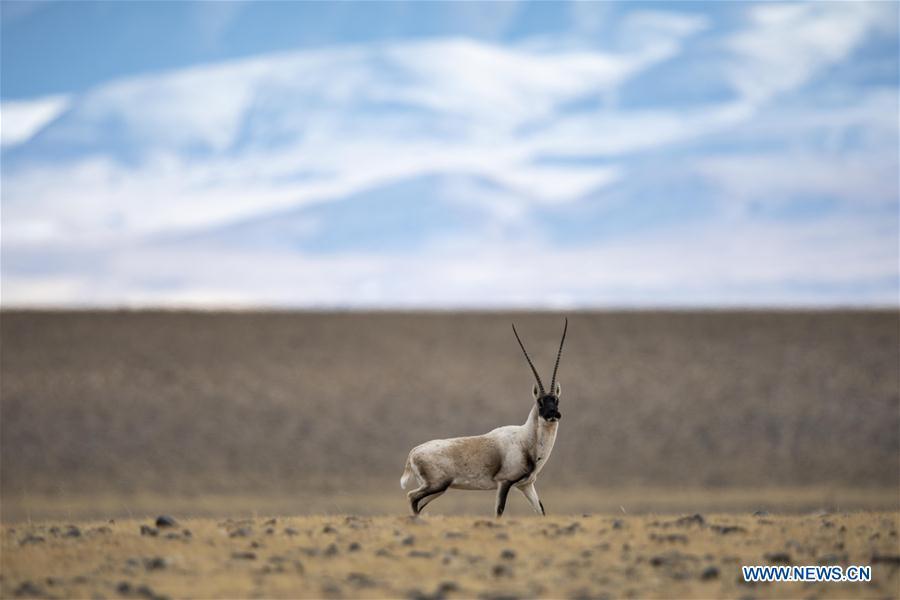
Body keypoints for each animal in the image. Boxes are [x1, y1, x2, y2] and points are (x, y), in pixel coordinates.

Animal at [400, 319, 567, 517]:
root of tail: (413, 452)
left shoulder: (526, 485)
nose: (553, 414)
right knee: (412, 497)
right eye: (540, 402)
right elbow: (499, 511)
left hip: (438, 489)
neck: (526, 440)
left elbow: (541, 511)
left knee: (417, 503)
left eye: (556, 400)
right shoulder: (504, 482)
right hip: (436, 485)